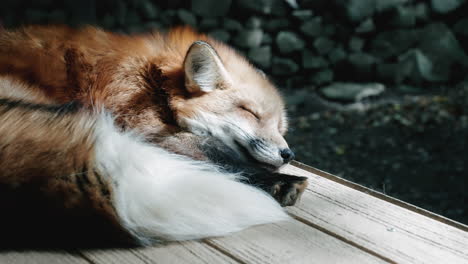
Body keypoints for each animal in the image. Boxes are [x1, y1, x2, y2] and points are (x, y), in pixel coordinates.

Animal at [0, 25, 308, 245]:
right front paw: (281, 182)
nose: (288, 153)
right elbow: (217, 153)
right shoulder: (138, 127)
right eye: (251, 113)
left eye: (280, 127)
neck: (154, 82)